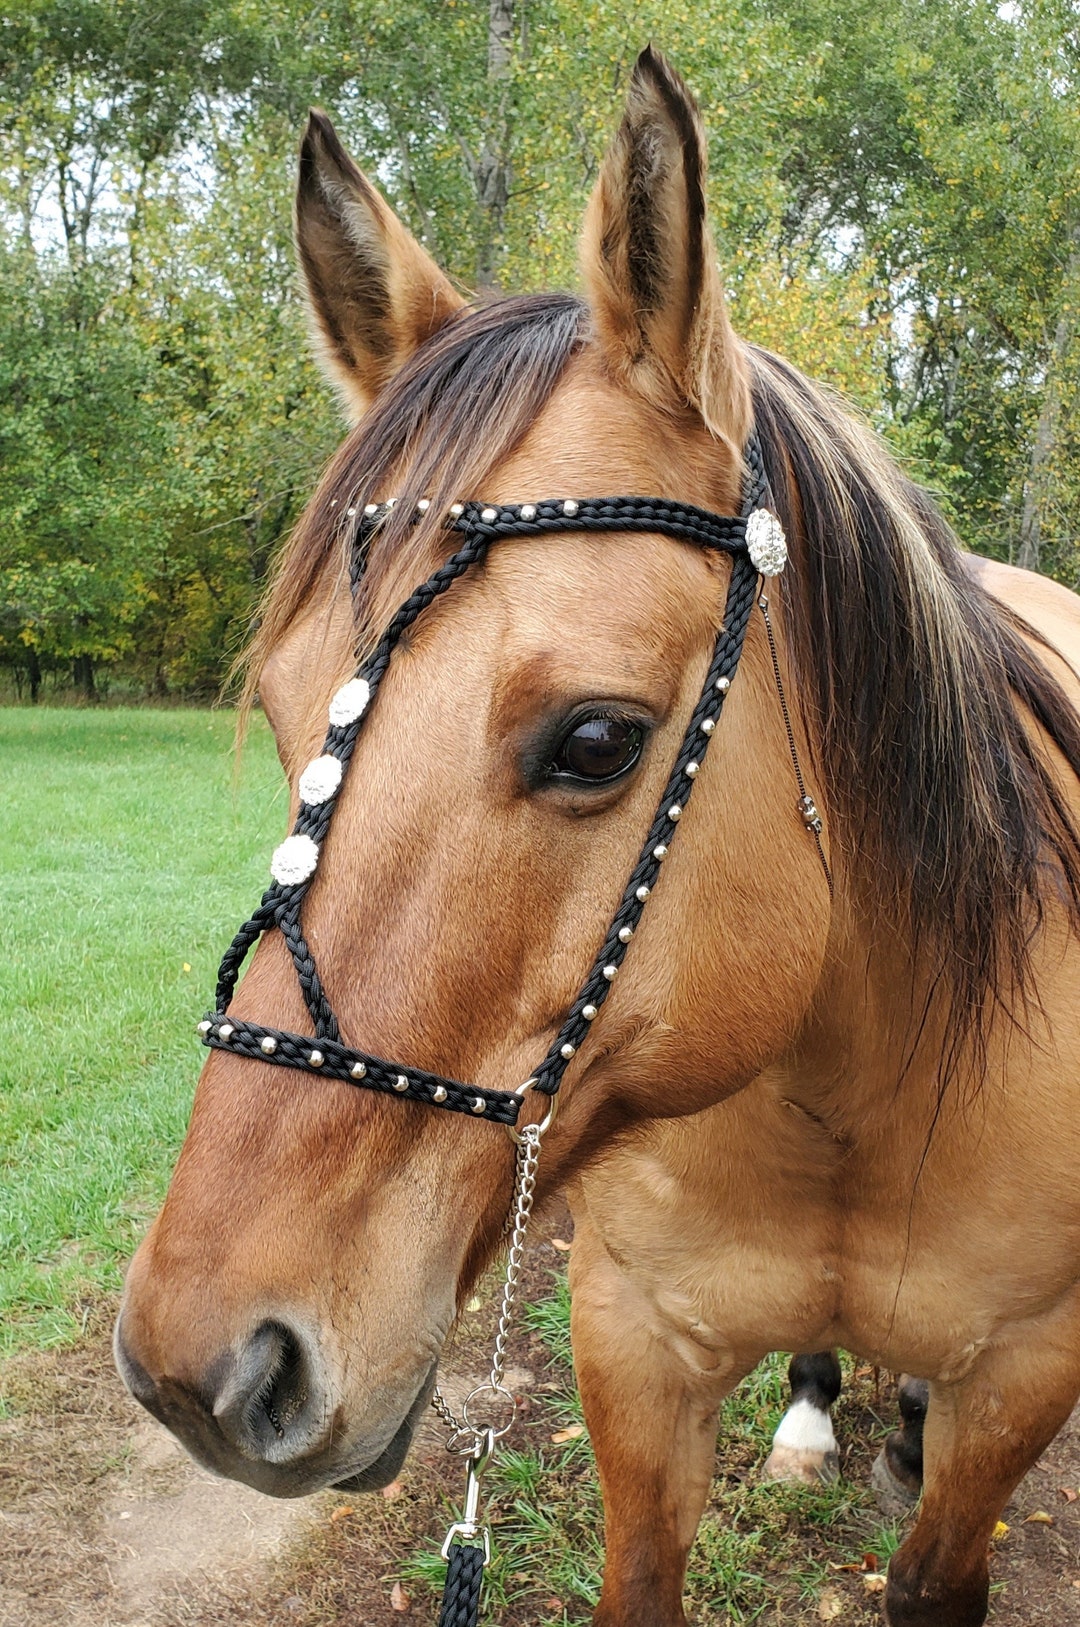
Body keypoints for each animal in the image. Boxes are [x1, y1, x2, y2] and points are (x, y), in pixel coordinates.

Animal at [114, 47, 1080, 1627]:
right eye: (280, 707)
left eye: (596, 741)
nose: (208, 1369)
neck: (851, 1081)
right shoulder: (631, 1343)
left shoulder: (1027, 1374)